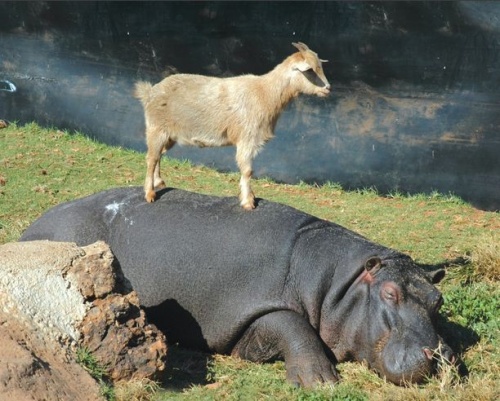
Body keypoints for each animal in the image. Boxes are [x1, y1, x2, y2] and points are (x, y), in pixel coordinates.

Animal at [19, 186, 456, 386]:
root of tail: (30, 230)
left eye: (437, 300)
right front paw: (320, 381)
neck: (337, 284)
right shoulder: (255, 304)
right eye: (389, 293)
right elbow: (293, 325)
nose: (439, 355)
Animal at [133, 41, 330, 209]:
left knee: (158, 155)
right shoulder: (247, 137)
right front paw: (248, 202)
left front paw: (248, 197)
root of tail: (149, 92)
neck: (265, 93)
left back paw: (159, 182)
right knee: (151, 158)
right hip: (156, 129)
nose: (328, 88)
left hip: (169, 135)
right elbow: (247, 170)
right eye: (310, 70)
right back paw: (150, 193)